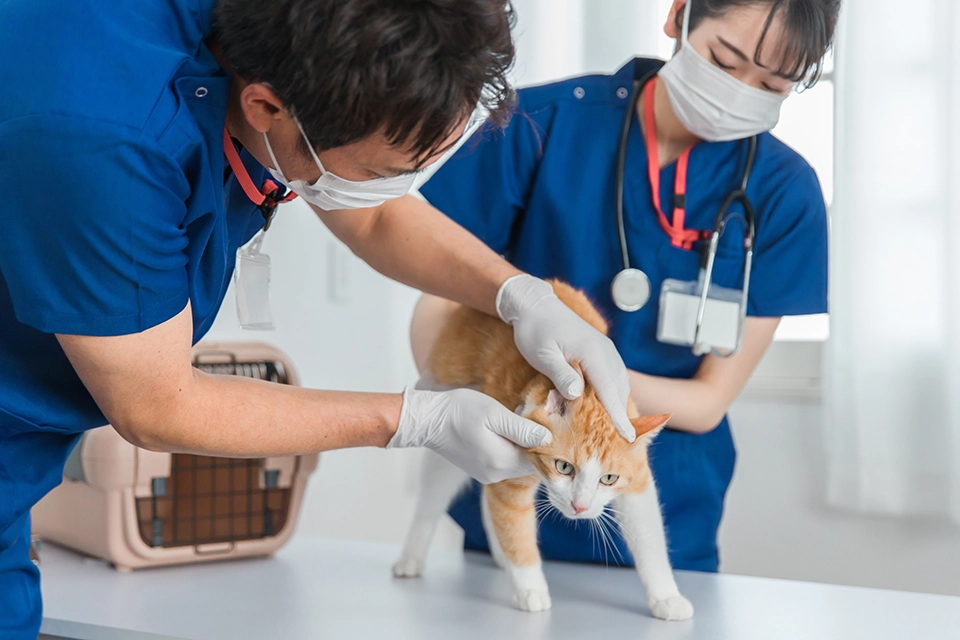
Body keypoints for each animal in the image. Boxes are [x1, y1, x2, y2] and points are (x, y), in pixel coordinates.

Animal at [394, 280, 692, 620]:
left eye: (609, 479)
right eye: (564, 467)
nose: (579, 507)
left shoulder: (638, 484)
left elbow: (649, 539)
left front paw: (666, 596)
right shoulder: (508, 476)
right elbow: (517, 531)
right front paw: (531, 589)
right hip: (452, 434)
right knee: (431, 501)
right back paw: (411, 558)